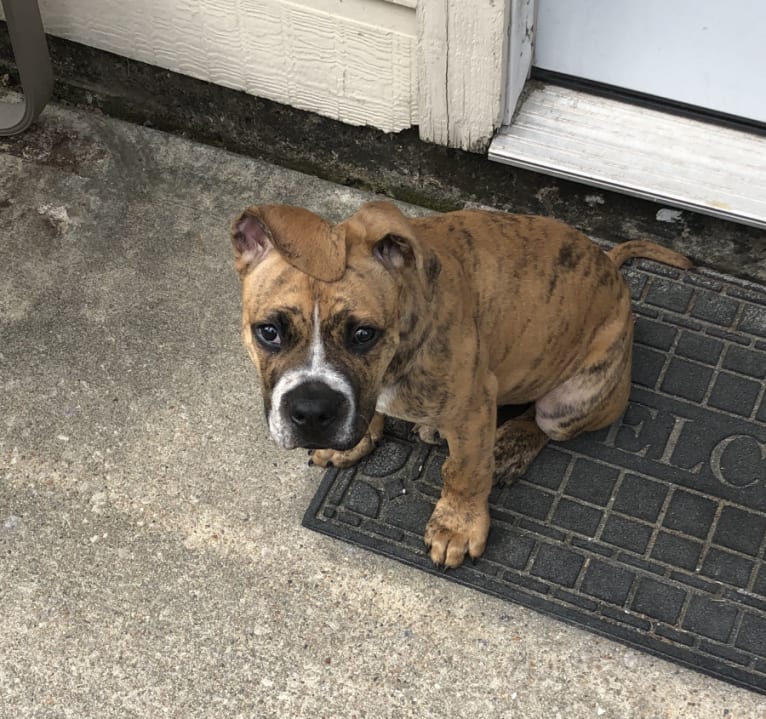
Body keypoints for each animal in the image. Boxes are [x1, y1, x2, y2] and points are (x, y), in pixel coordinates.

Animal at [231, 202, 692, 568]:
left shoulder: (473, 408)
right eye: (268, 332)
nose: (311, 413)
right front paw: (359, 439)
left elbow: (464, 473)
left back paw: (508, 446)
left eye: (364, 334)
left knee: (542, 423)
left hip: (571, 400)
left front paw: (457, 527)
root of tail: (610, 267)